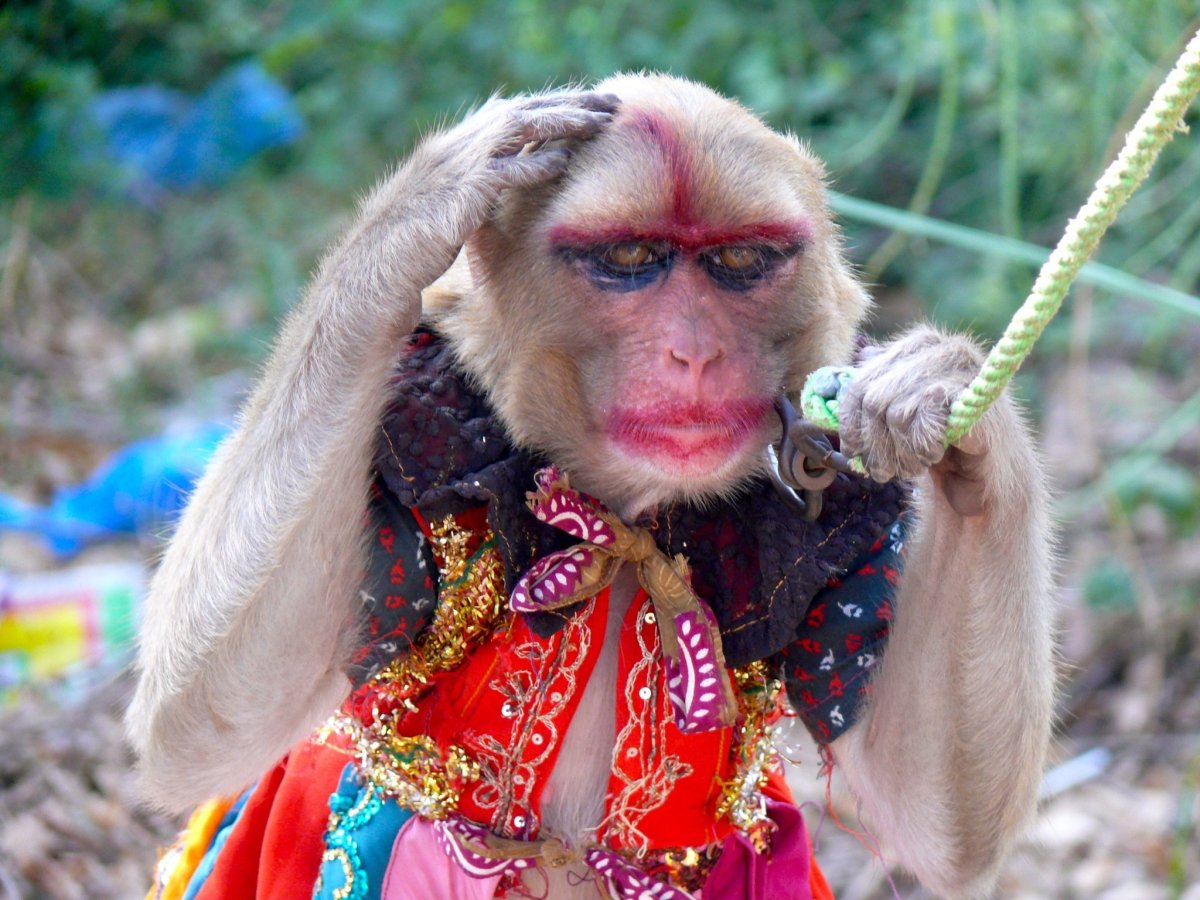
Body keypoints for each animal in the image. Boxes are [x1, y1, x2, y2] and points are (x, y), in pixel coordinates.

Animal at [127, 73, 1055, 900]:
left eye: (738, 260)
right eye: (632, 259)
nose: (695, 352)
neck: (627, 518)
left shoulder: (858, 510)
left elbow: (938, 822)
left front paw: (937, 389)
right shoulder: (412, 422)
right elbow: (201, 722)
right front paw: (423, 206)